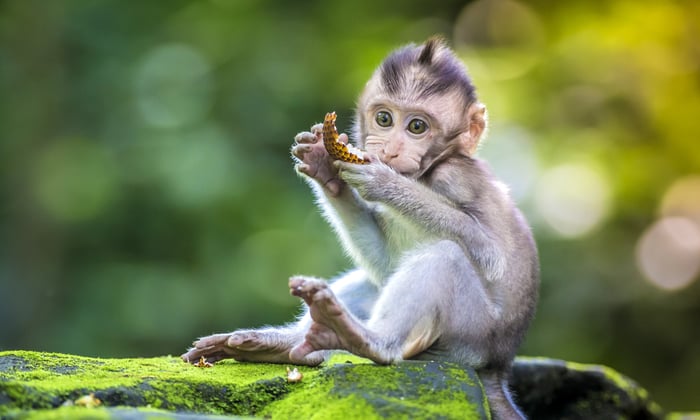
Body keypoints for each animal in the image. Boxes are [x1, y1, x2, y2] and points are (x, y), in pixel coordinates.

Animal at [182, 37, 539, 420]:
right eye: (384, 118)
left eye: (417, 127)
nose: (389, 150)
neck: (428, 173)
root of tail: (497, 367)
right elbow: (386, 263)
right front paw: (325, 168)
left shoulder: (457, 178)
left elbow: (492, 255)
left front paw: (383, 182)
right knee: (374, 281)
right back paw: (283, 344)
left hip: (468, 336)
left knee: (445, 257)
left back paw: (369, 341)